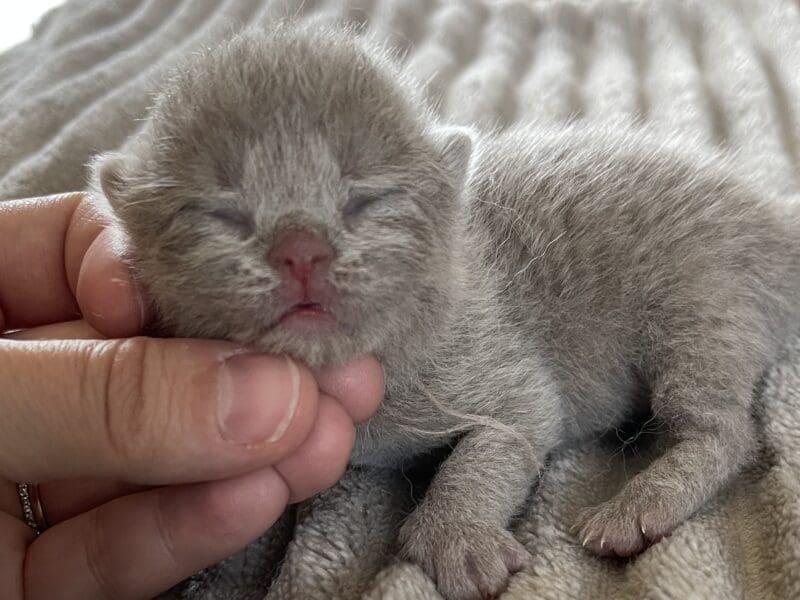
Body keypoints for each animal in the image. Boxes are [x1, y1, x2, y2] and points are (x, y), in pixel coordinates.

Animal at [90, 24, 800, 600]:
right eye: (223, 214)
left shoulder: (500, 369)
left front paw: (457, 539)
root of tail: (771, 217)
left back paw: (639, 506)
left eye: (365, 200)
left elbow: (506, 436)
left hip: (704, 305)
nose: (300, 250)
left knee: (726, 431)